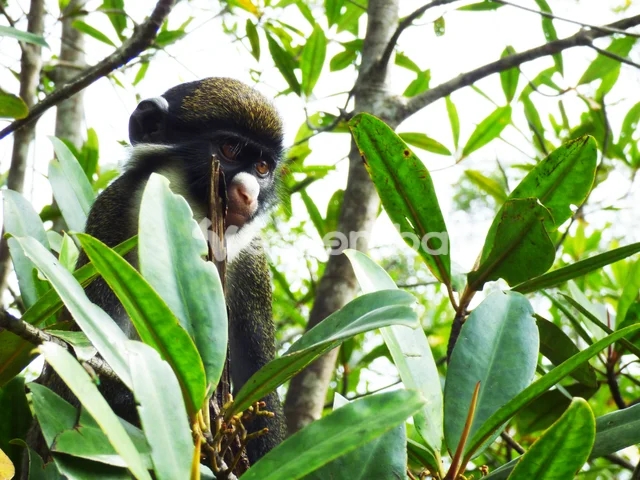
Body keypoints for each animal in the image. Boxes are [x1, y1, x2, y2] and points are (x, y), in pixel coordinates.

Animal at [24, 77, 286, 475]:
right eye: (228, 149)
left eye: (261, 167)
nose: (249, 193)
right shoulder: (112, 223)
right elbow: (77, 381)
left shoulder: (252, 266)